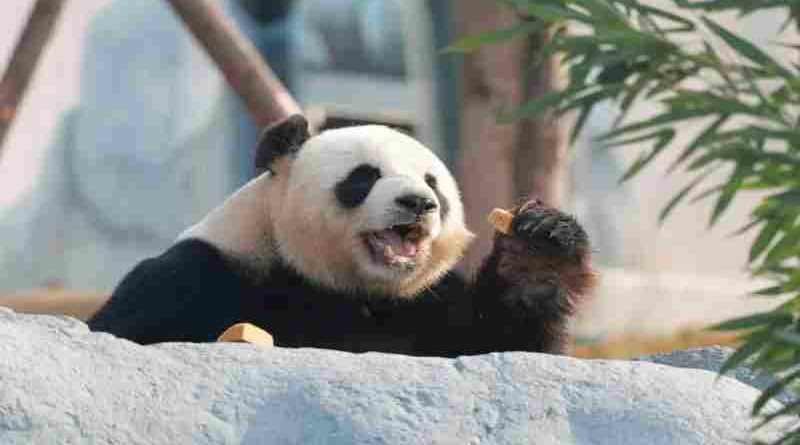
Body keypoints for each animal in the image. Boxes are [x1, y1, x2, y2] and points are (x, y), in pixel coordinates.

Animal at [88, 115, 597, 357]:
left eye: (433, 183)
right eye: (364, 177)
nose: (419, 203)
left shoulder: (429, 303)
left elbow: (508, 342)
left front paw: (538, 249)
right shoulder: (202, 274)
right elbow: (126, 329)